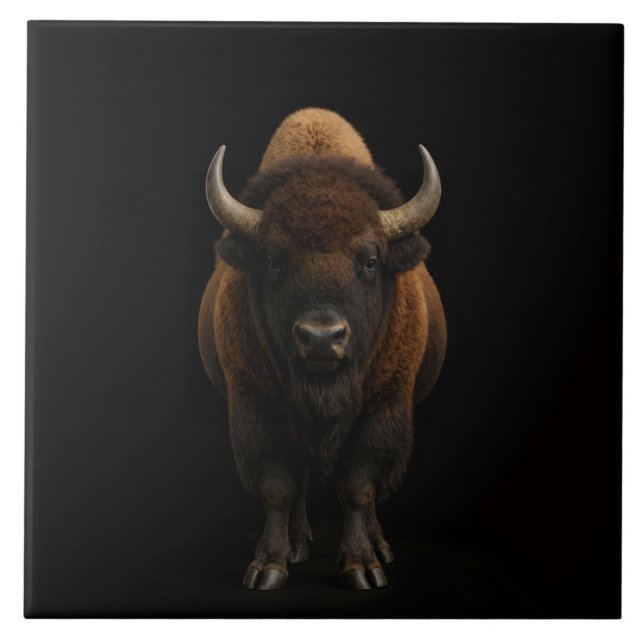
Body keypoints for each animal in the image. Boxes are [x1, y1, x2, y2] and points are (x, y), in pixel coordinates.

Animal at [198, 108, 447, 591]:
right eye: (274, 260)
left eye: (370, 261)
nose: (321, 337)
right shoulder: (257, 407)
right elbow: (278, 485)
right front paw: (268, 568)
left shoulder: (383, 408)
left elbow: (359, 487)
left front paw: (363, 567)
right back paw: (297, 545)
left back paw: (380, 546)